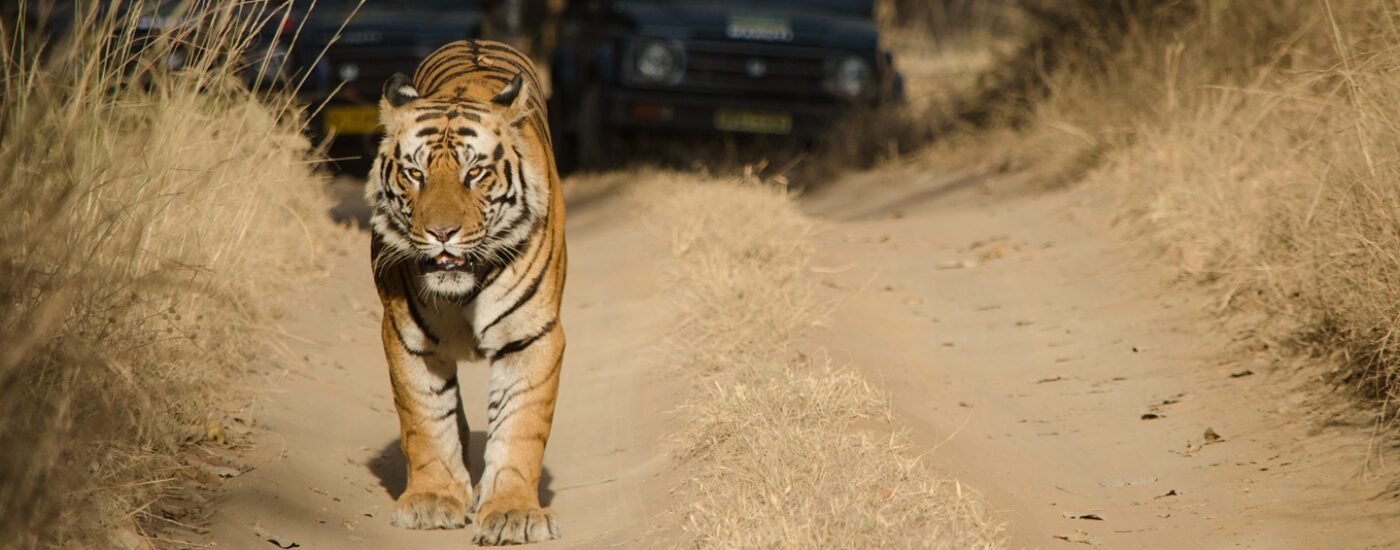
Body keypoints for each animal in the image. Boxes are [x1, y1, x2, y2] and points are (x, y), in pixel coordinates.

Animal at [366, 39, 568, 543]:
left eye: (474, 173)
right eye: (415, 174)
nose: (442, 233)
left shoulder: (533, 335)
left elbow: (520, 425)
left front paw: (514, 512)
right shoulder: (405, 336)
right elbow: (425, 418)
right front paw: (433, 499)